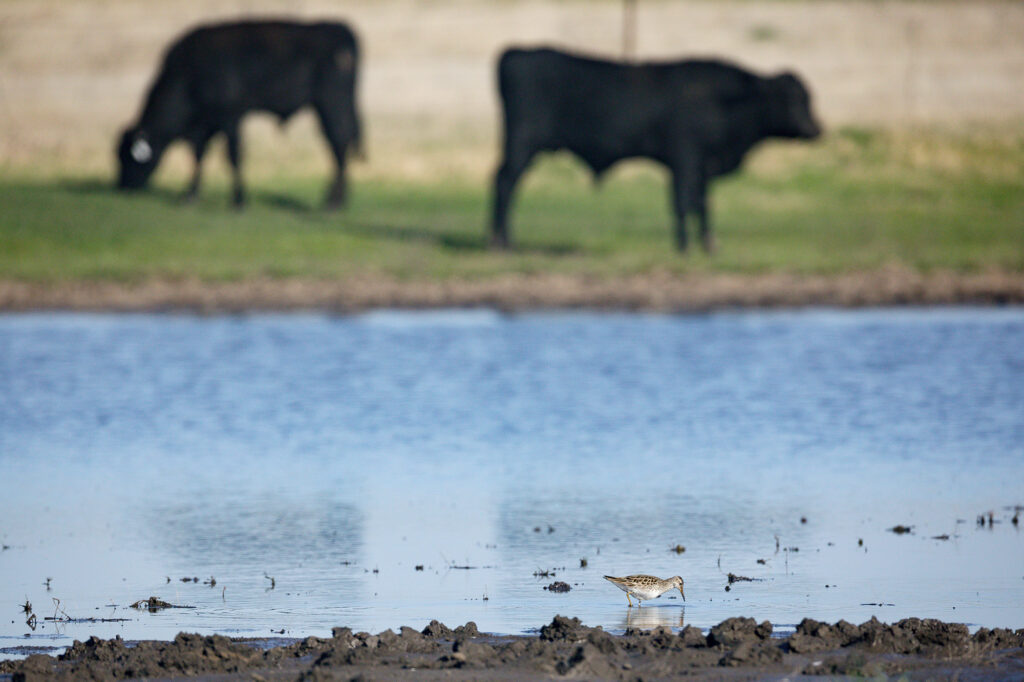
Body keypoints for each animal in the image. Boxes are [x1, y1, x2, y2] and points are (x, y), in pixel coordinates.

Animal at [117, 19, 362, 208]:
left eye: (128, 157)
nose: (122, 186)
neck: (189, 74)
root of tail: (339, 29)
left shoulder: (231, 117)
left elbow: (233, 156)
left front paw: (238, 200)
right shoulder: (204, 126)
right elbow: (199, 156)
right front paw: (190, 195)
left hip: (331, 105)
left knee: (339, 144)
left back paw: (332, 202)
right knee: (339, 145)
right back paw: (338, 200)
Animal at [491, 48, 821, 252]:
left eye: (807, 96)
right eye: (792, 99)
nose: (816, 130)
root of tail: (518, 52)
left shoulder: (701, 167)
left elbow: (702, 203)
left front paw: (707, 244)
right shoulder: (685, 160)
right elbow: (683, 203)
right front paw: (685, 246)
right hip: (522, 145)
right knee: (505, 183)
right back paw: (503, 243)